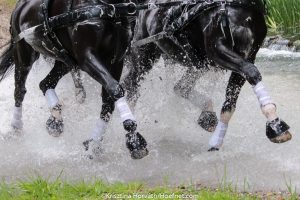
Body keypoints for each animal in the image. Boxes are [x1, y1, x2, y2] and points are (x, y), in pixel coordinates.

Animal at [0, 0, 148, 159]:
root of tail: (19, 6)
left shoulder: (116, 61)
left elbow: (109, 99)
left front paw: (95, 142)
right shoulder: (86, 57)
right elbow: (115, 89)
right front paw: (134, 139)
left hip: (65, 61)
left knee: (45, 83)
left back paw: (55, 121)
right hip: (24, 56)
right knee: (20, 90)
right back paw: (16, 126)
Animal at [122, 0, 292, 150]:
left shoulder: (248, 55)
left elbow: (230, 103)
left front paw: (274, 125)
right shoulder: (217, 49)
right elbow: (252, 71)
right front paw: (275, 125)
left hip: (198, 65)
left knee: (181, 88)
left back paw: (207, 115)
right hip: (144, 57)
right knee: (132, 88)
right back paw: (132, 138)